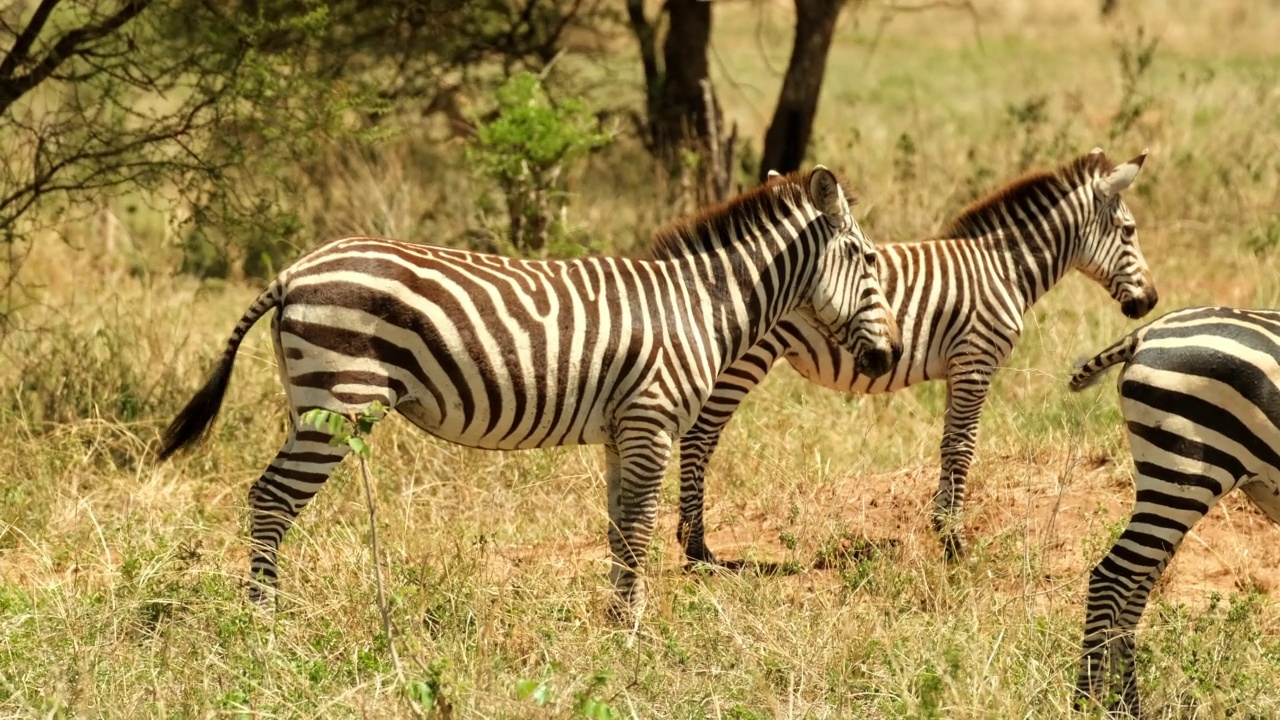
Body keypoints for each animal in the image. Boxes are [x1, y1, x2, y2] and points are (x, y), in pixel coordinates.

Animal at [157, 163, 901, 617]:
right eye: (867, 259)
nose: (887, 356)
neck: (697, 304)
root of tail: (293, 271)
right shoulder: (653, 423)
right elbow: (638, 526)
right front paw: (635, 626)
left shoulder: (624, 430)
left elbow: (618, 529)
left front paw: (614, 620)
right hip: (338, 400)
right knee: (271, 498)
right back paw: (265, 619)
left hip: (306, 398)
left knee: (271, 497)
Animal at [670, 147, 1162, 561]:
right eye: (1129, 231)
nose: (1152, 301)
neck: (1004, 269)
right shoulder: (975, 361)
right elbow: (963, 446)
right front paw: (954, 543)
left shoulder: (958, 369)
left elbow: (948, 444)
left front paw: (942, 527)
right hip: (744, 358)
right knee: (699, 436)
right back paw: (696, 547)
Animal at [1070, 302, 1280, 712]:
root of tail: (1145, 333)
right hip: (1185, 473)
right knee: (1112, 577)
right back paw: (1084, 706)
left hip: (1167, 479)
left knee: (1133, 590)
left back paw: (1126, 709)